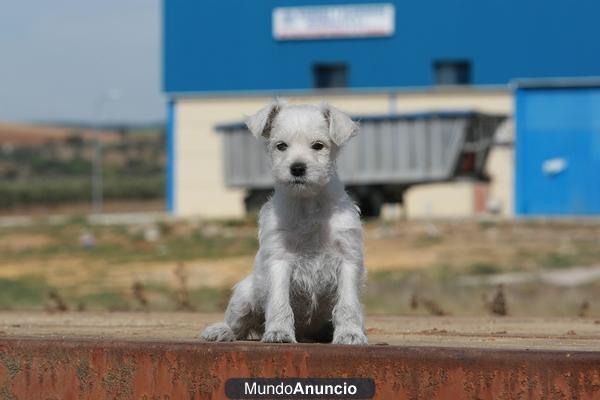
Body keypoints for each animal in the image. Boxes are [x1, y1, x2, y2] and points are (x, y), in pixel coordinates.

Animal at [202, 99, 366, 344]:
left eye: (318, 146)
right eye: (281, 146)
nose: (297, 168)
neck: (307, 205)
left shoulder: (347, 258)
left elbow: (347, 304)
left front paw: (350, 333)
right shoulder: (280, 260)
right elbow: (280, 303)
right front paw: (279, 332)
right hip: (244, 296)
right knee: (237, 323)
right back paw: (220, 331)